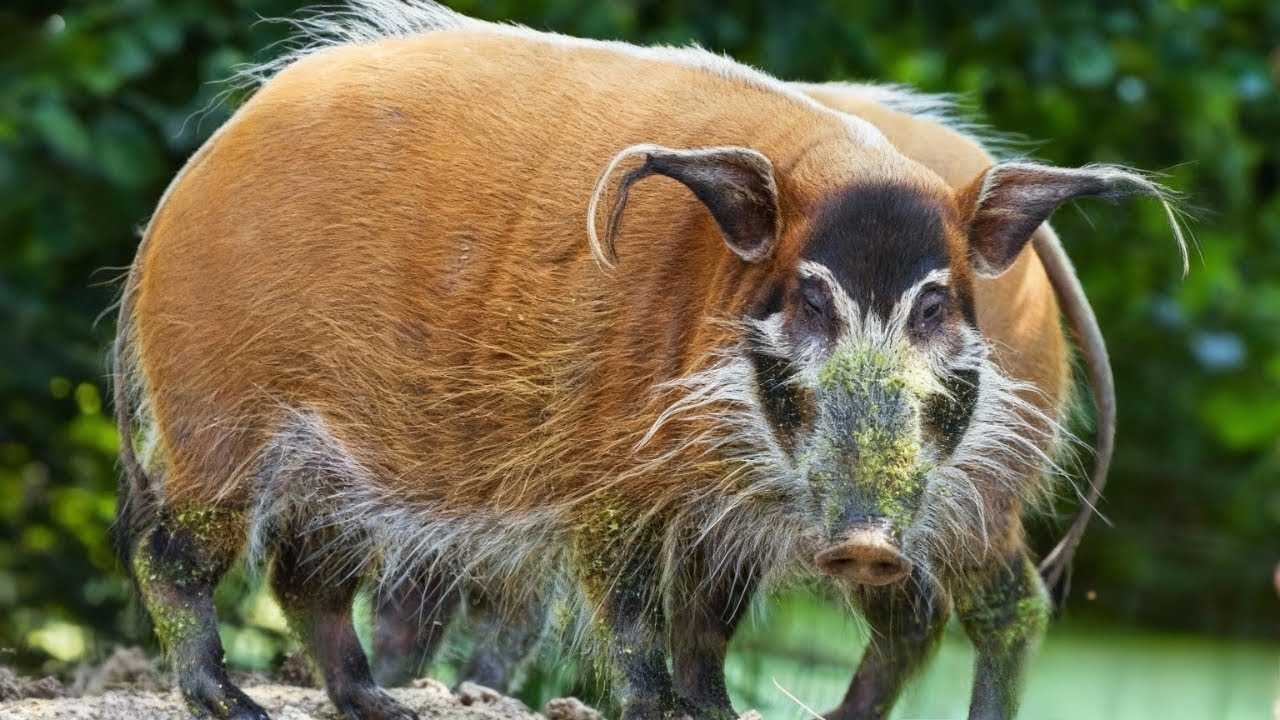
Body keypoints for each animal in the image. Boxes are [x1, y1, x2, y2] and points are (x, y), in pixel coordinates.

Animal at [111, 2, 1185, 719]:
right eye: (808, 297)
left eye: (934, 302)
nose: (866, 540)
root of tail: (188, 181)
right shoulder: (613, 481)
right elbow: (636, 612)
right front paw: (664, 709)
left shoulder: (724, 510)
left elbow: (696, 620)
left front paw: (706, 714)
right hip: (223, 425)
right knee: (180, 553)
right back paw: (241, 702)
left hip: (975, 497)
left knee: (998, 609)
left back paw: (383, 704)